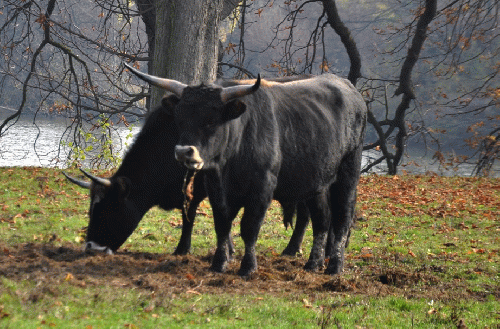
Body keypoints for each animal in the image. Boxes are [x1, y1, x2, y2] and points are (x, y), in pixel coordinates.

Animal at [125, 62, 368, 276]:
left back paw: (334, 266)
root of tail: (349, 88)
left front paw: (248, 267)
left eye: (211, 121)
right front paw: (219, 263)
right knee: (322, 220)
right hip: (316, 181)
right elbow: (222, 225)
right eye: (180, 119)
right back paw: (313, 263)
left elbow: (249, 227)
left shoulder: (262, 188)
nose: (184, 152)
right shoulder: (216, 189)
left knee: (342, 217)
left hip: (348, 172)